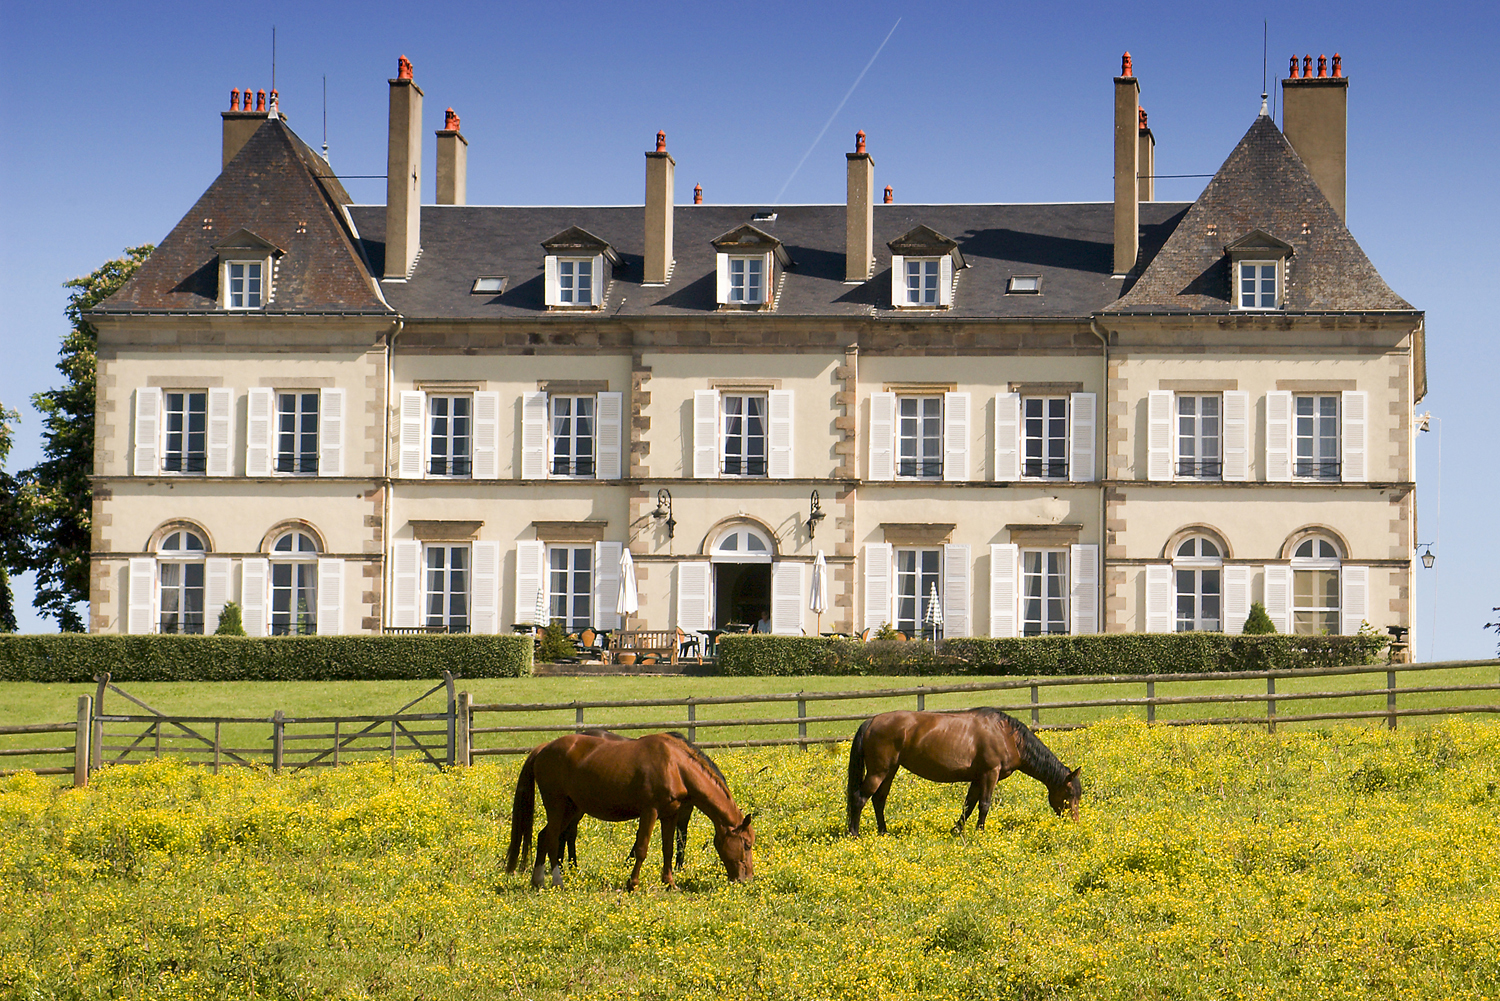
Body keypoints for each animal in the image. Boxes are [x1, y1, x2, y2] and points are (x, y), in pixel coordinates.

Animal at [510, 729, 756, 894]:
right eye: (746, 844)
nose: (746, 879)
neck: (675, 765)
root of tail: (543, 748)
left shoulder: (670, 815)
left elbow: (667, 849)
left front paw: (670, 883)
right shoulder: (650, 812)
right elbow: (642, 849)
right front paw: (632, 883)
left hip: (571, 808)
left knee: (543, 836)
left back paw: (538, 881)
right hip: (558, 806)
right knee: (552, 838)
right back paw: (557, 881)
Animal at [846, 708, 1080, 840]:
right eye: (1070, 795)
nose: (1075, 822)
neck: (1007, 735)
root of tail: (871, 722)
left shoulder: (978, 778)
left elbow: (968, 805)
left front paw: (957, 830)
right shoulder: (990, 774)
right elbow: (984, 804)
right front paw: (980, 832)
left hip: (890, 770)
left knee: (879, 800)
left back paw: (883, 832)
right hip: (879, 771)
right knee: (860, 798)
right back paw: (855, 835)